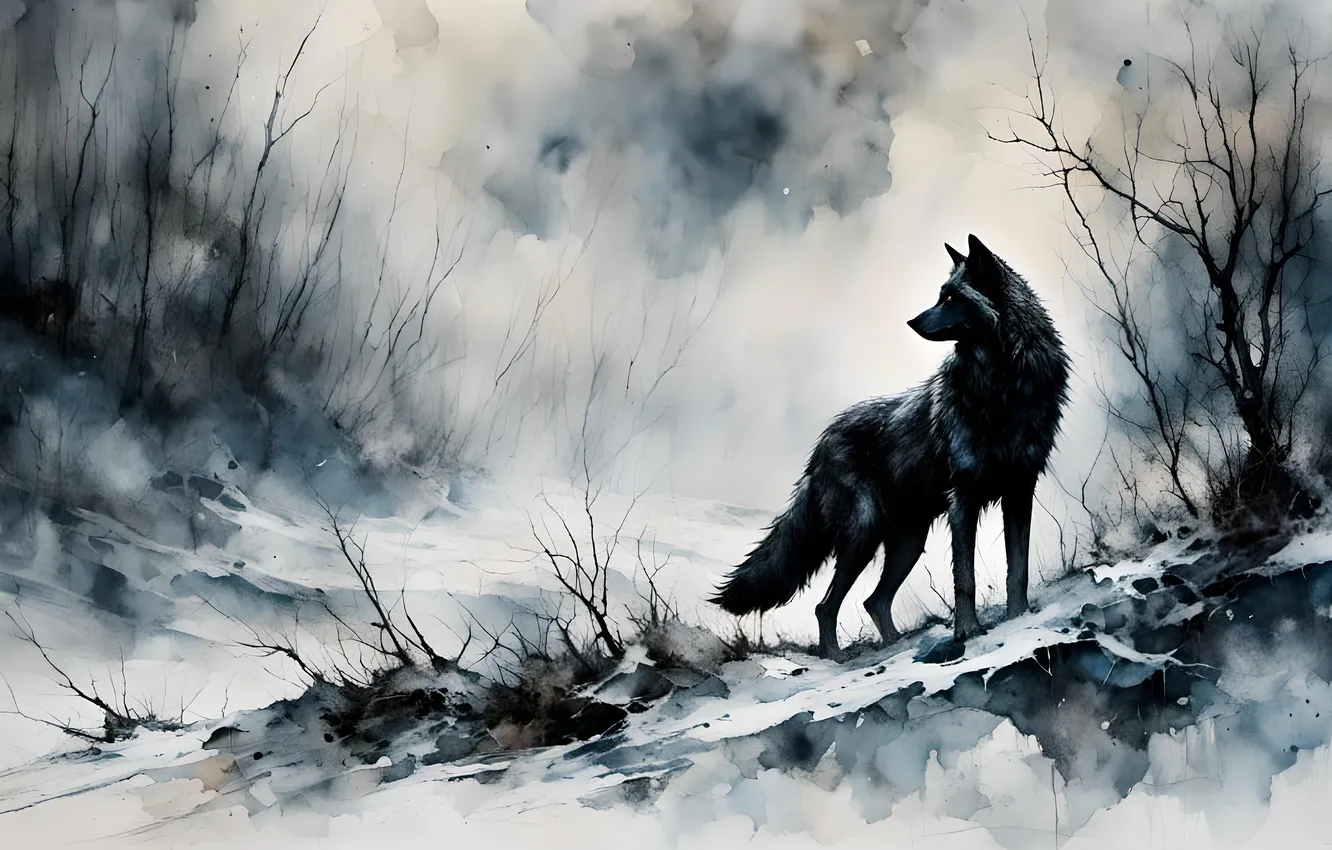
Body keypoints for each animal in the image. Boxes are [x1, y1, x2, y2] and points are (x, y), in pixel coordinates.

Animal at [710, 234, 1071, 658]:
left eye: (951, 298)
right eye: (940, 295)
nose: (912, 321)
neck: (1002, 385)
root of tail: (819, 447)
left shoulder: (1019, 491)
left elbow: (1019, 570)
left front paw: (1019, 619)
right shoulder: (964, 499)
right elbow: (964, 579)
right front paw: (967, 632)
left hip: (908, 542)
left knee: (874, 601)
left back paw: (892, 645)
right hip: (863, 535)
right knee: (825, 605)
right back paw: (835, 657)